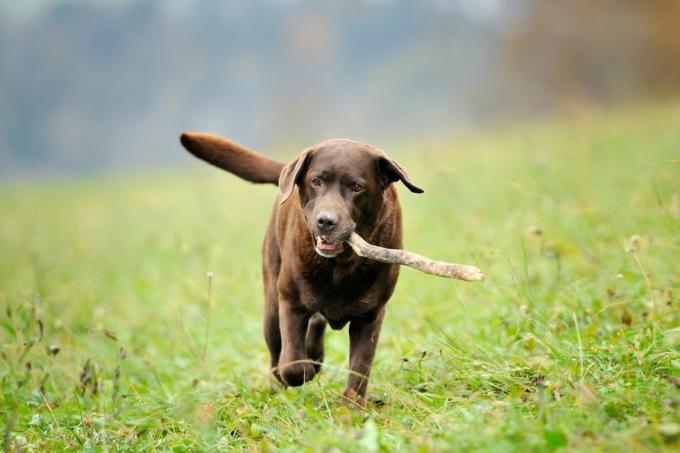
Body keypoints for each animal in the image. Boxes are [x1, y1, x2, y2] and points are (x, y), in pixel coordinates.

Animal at [179, 132, 420, 406]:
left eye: (357, 187)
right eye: (316, 181)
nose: (326, 221)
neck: (340, 265)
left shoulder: (370, 315)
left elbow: (360, 367)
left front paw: (352, 408)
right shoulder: (291, 303)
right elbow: (292, 365)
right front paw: (303, 369)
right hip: (272, 306)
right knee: (277, 354)